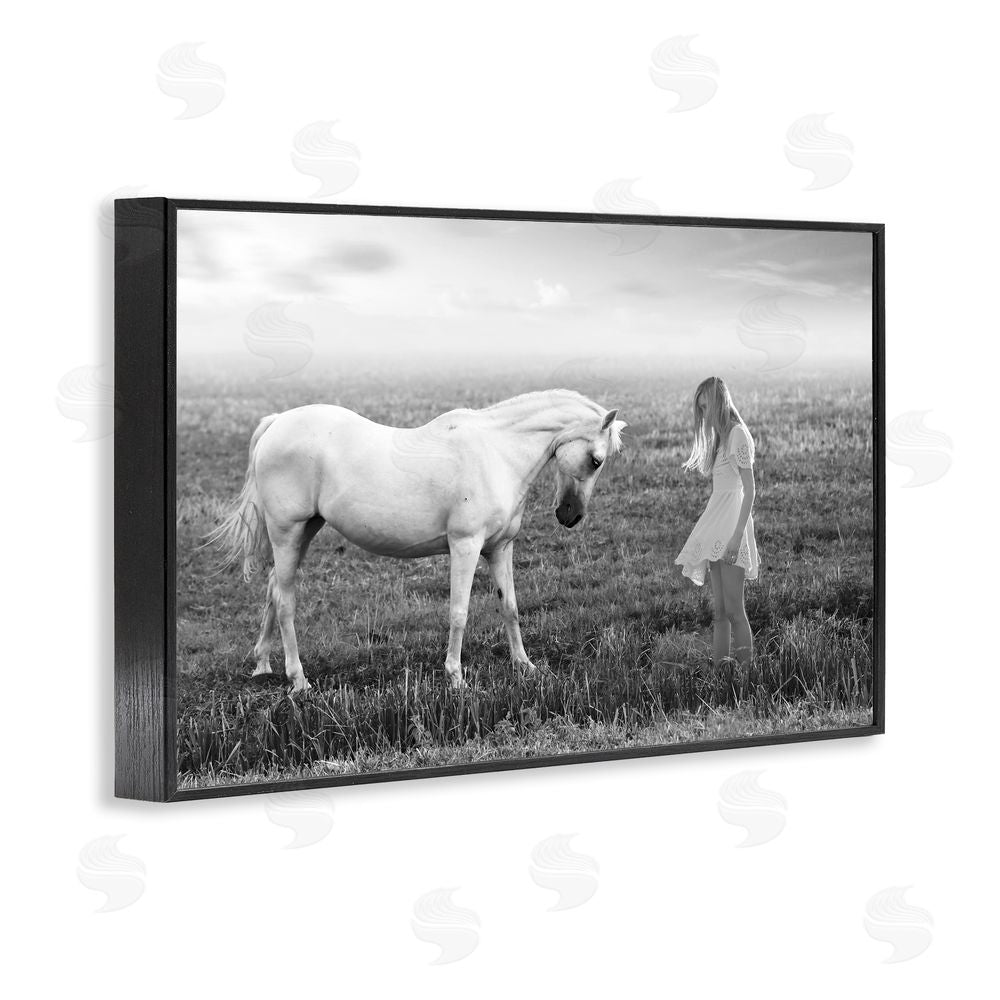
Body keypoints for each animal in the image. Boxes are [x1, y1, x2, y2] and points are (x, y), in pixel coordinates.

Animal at [207, 389, 628, 693]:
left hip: (305, 530)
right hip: (288, 532)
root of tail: (277, 423)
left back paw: (263, 664)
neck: (497, 453)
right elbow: (459, 612)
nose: (570, 516)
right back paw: (298, 681)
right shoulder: (465, 546)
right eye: (596, 459)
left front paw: (525, 666)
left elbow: (509, 607)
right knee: (286, 603)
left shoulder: (499, 549)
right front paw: (456, 677)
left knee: (273, 591)